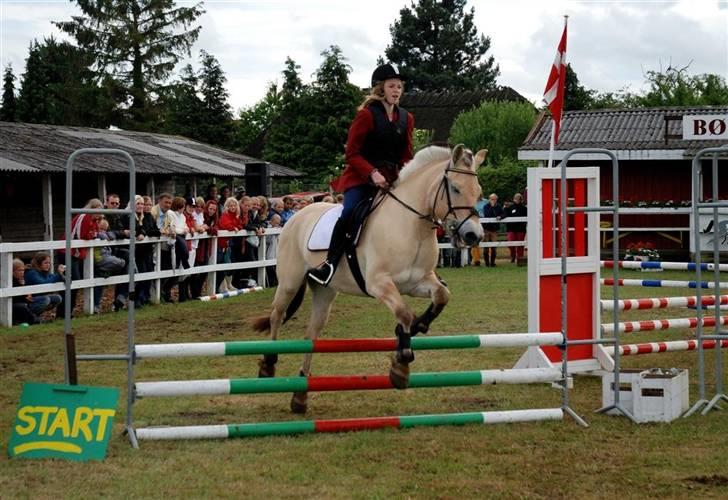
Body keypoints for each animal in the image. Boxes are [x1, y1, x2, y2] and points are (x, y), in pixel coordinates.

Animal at [253, 143, 486, 412]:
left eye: (478, 191)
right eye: (456, 188)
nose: (473, 236)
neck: (412, 226)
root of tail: (299, 215)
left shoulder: (416, 282)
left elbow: (441, 295)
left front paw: (418, 326)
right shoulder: (379, 284)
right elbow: (404, 313)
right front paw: (401, 365)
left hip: (325, 290)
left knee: (311, 334)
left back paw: (300, 395)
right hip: (289, 282)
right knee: (277, 315)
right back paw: (268, 365)